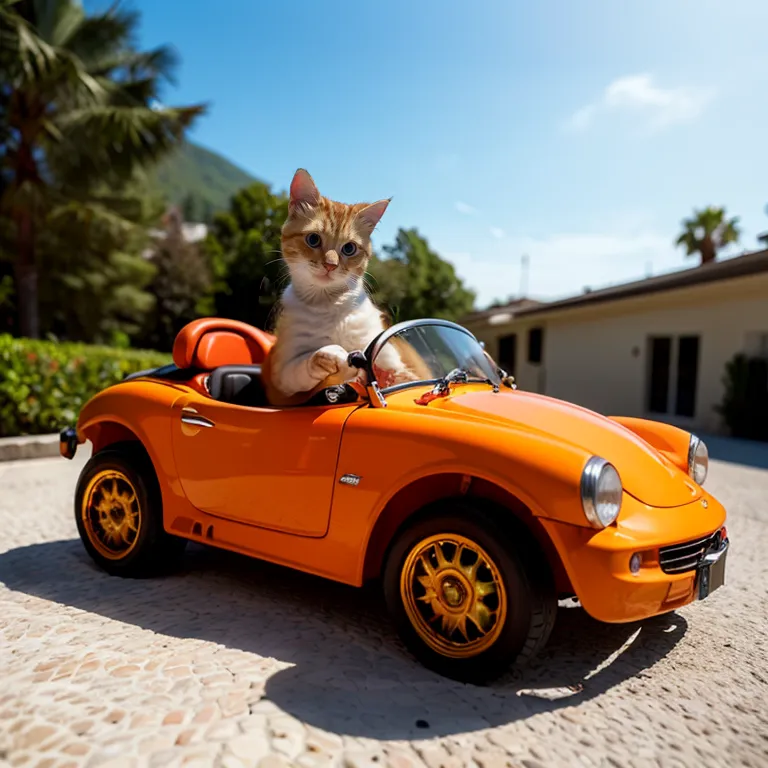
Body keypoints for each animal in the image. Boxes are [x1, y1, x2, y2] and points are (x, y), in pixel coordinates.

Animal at [262, 169, 412, 408]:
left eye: (349, 248)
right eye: (313, 239)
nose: (330, 265)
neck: (328, 305)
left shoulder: (386, 355)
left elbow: (400, 373)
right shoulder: (280, 376)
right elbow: (301, 367)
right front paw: (329, 357)